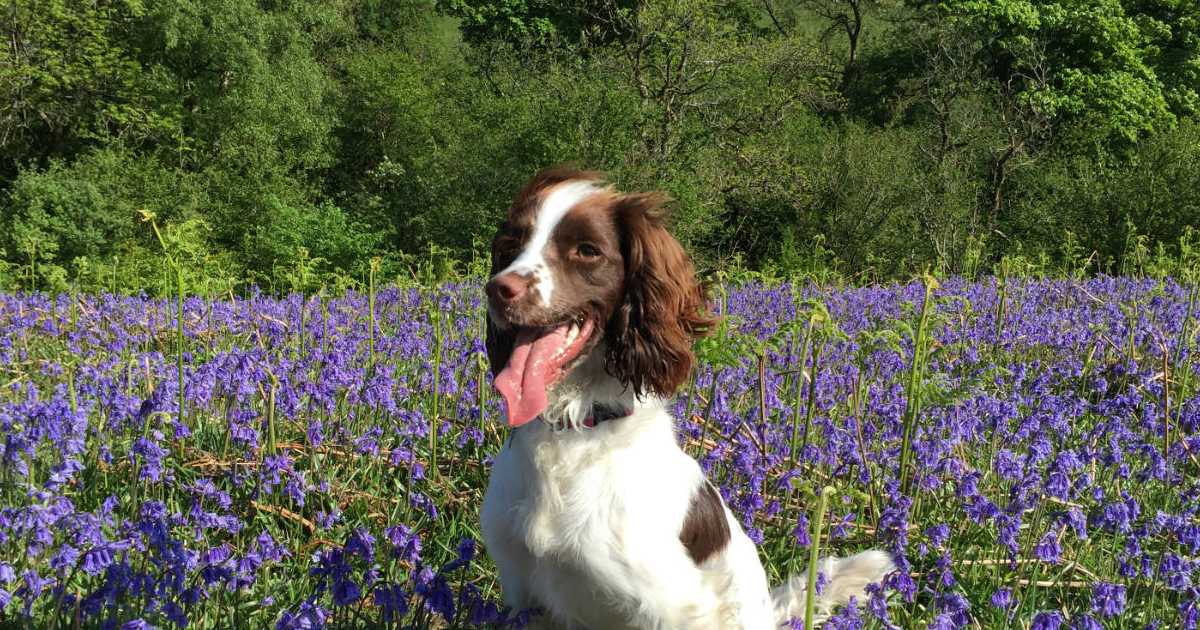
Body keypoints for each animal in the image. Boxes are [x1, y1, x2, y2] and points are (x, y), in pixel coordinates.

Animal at [480, 168, 892, 628]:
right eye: (511, 243)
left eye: (587, 250)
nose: (498, 289)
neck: (573, 429)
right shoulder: (526, 594)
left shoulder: (670, 606)